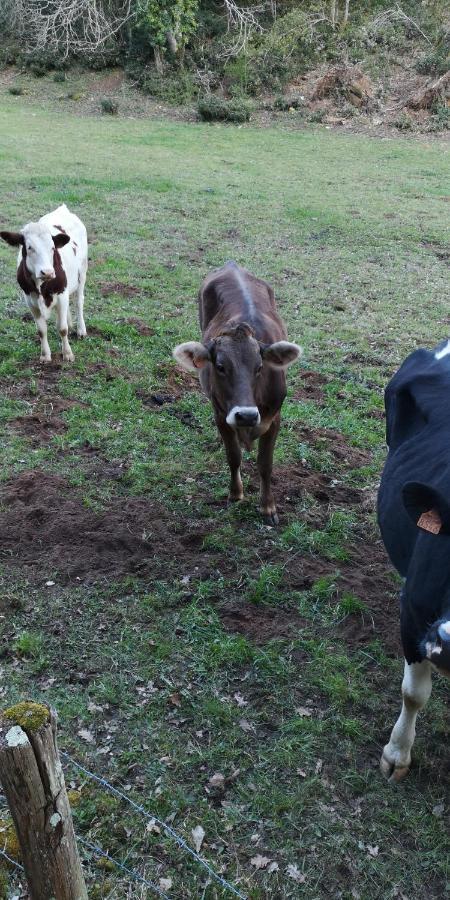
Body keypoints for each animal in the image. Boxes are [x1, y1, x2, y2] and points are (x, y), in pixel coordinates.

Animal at [0, 204, 87, 362]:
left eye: (52, 248)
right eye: (29, 247)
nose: (47, 272)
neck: (42, 286)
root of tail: (62, 209)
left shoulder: (62, 294)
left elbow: (62, 328)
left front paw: (67, 353)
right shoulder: (30, 300)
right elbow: (41, 330)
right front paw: (45, 355)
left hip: (83, 271)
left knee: (79, 301)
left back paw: (81, 330)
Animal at [174, 260, 300, 524]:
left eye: (260, 367)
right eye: (220, 366)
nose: (247, 415)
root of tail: (231, 265)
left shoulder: (274, 418)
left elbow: (265, 464)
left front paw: (268, 507)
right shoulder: (221, 415)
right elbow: (233, 455)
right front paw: (235, 494)